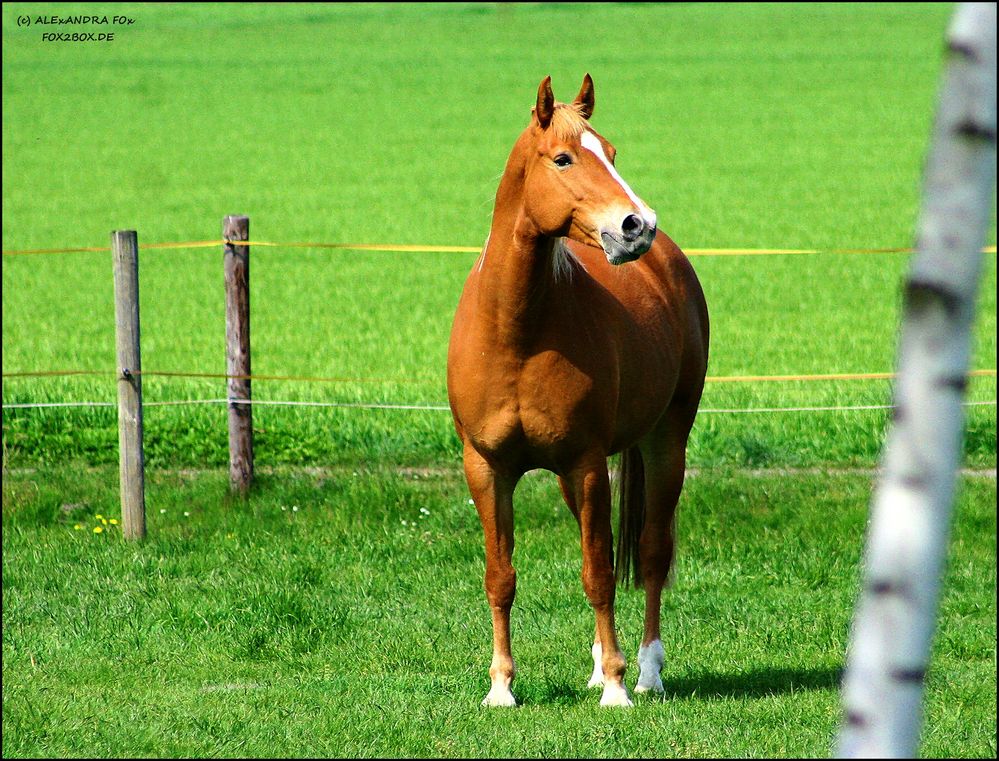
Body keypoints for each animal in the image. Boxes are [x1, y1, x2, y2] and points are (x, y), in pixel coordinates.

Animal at [446, 72, 712, 708]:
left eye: (611, 153)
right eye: (563, 158)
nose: (637, 226)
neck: (516, 332)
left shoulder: (588, 464)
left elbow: (600, 573)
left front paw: (615, 688)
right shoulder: (486, 468)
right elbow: (501, 577)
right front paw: (501, 687)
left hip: (666, 443)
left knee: (651, 553)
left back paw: (646, 671)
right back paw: (596, 666)